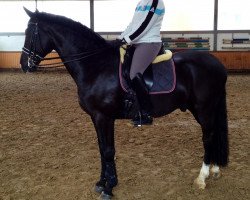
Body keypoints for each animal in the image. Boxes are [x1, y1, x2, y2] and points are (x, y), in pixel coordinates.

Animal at [20, 8, 229, 199]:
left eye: (30, 33)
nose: (24, 64)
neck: (96, 65)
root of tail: (217, 64)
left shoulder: (104, 117)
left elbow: (108, 151)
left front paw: (109, 188)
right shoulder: (96, 118)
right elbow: (102, 149)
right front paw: (101, 183)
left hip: (203, 109)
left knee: (208, 137)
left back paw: (202, 178)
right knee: (214, 135)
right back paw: (215, 170)